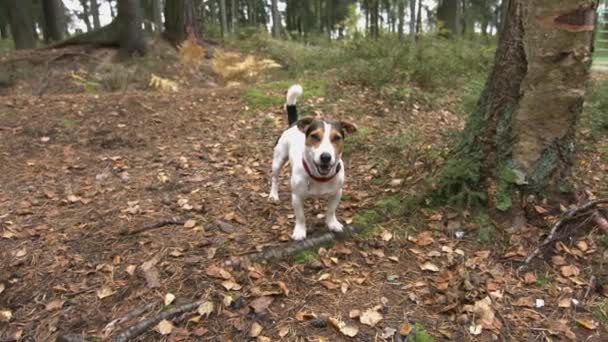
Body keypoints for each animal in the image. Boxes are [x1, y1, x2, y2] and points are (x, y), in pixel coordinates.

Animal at [270, 85, 356, 240]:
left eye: (337, 138)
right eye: (314, 136)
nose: (325, 157)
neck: (319, 177)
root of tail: (294, 124)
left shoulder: (337, 193)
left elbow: (331, 211)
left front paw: (332, 223)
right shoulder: (297, 197)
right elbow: (301, 216)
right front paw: (300, 231)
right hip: (278, 160)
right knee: (274, 178)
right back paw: (273, 195)